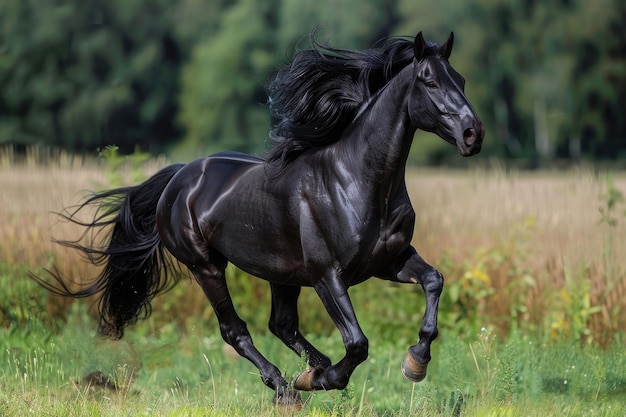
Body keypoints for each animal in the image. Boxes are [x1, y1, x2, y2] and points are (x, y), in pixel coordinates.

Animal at [35, 32, 482, 406]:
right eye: (428, 80)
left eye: (460, 78)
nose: (473, 133)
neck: (357, 180)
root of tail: (178, 178)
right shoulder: (328, 275)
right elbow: (358, 343)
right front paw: (326, 379)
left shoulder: (388, 261)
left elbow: (433, 281)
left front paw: (415, 362)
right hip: (206, 266)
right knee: (236, 331)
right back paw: (289, 388)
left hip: (281, 272)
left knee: (280, 324)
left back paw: (307, 372)